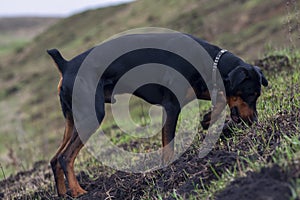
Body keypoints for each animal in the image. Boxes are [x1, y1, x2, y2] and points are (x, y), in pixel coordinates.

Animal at [48, 32, 268, 197]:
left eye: (258, 94)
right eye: (251, 94)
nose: (255, 121)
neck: (208, 61)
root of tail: (66, 65)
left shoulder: (201, 87)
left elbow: (221, 99)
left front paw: (206, 120)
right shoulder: (172, 105)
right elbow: (168, 143)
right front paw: (169, 168)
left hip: (73, 120)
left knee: (55, 159)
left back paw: (63, 193)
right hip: (91, 115)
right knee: (65, 158)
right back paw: (78, 192)